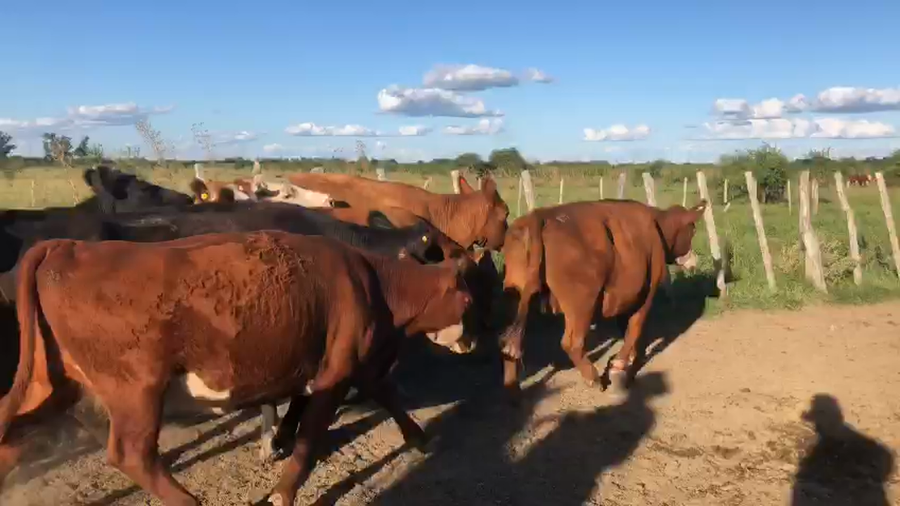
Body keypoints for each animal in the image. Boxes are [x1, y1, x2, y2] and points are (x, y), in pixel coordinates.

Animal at [0, 231, 476, 506]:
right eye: (471, 296)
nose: (474, 339)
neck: (370, 279)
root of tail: (68, 246)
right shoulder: (338, 371)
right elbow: (311, 436)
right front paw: (284, 489)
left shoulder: (343, 367)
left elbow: (381, 393)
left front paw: (417, 437)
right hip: (137, 389)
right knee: (132, 454)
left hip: (50, 384)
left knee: (9, 434)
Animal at [498, 199, 707, 398]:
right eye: (692, 231)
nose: (694, 260)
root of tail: (540, 215)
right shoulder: (648, 291)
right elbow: (635, 328)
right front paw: (619, 366)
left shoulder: (627, 296)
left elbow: (626, 328)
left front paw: (631, 359)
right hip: (582, 304)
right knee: (572, 343)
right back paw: (594, 378)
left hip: (515, 295)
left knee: (507, 340)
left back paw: (513, 390)